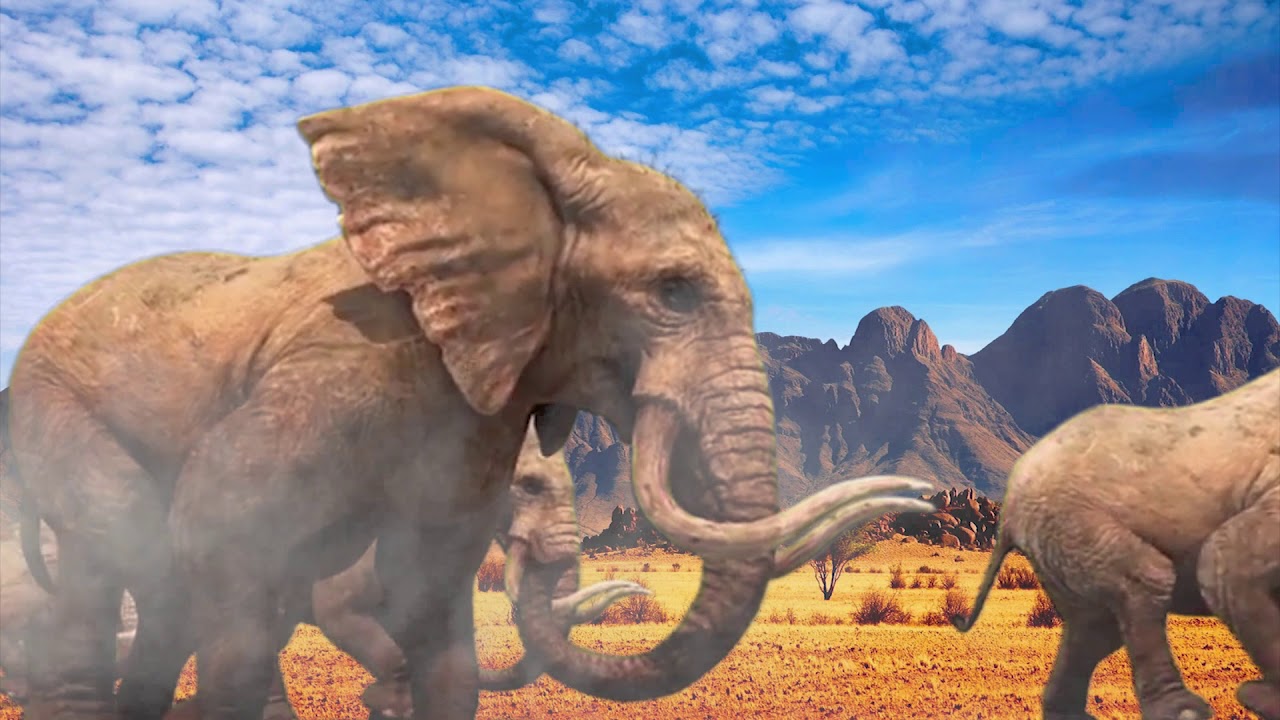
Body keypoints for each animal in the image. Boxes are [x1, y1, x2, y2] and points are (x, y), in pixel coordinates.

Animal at [5, 85, 935, 720]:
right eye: (671, 290)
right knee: (131, 558)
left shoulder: (469, 423)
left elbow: (435, 617)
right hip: (53, 403)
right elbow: (220, 530)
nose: (922, 495)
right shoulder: (330, 377)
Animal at [954, 368, 1280, 720]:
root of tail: (1010, 503)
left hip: (1059, 535)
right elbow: (1224, 559)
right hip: (1072, 520)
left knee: (1094, 628)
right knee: (1143, 585)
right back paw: (1186, 711)